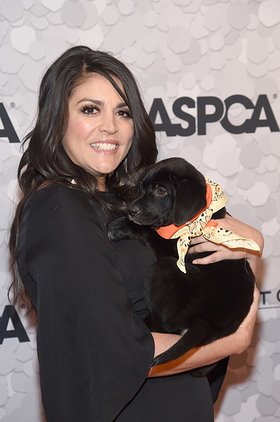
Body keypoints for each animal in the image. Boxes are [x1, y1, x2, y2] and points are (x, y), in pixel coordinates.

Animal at [108, 157, 260, 366]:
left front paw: (122, 226)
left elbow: (152, 233)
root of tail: (206, 321)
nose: (131, 211)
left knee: (165, 323)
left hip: (162, 268)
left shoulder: (171, 249)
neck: (197, 220)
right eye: (141, 188)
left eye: (161, 190)